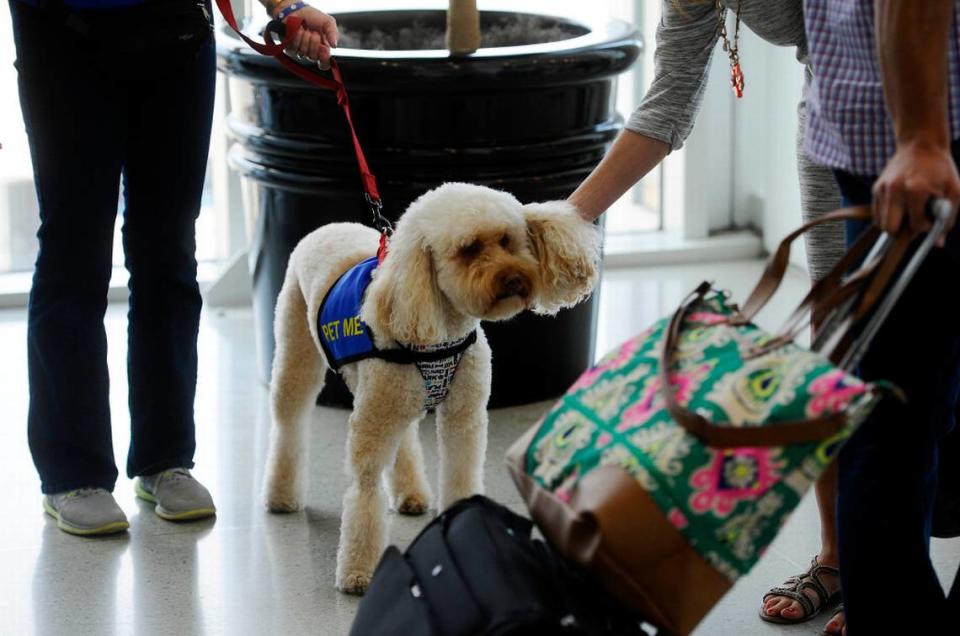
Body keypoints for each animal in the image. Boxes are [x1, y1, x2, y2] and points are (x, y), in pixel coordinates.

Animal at [258, 181, 596, 592]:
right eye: (468, 249)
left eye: (507, 240)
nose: (514, 279)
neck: (441, 328)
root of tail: (326, 228)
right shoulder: (371, 430)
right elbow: (364, 494)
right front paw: (358, 571)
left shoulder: (463, 418)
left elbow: (460, 473)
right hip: (301, 359)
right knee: (289, 425)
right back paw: (281, 495)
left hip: (394, 396)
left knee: (403, 439)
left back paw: (410, 494)